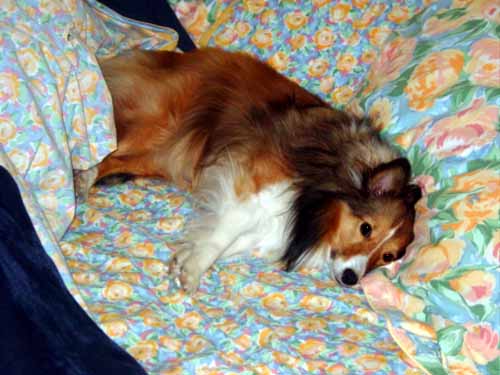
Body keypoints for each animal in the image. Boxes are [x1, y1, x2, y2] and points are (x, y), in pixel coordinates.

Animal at [79, 47, 422, 294]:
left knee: (118, 161)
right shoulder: (252, 184)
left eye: (388, 256)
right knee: (105, 150)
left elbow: (228, 239)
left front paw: (185, 256)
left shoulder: (272, 223)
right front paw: (194, 270)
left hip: (165, 155)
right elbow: (224, 235)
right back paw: (82, 180)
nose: (351, 278)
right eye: (366, 228)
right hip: (156, 125)